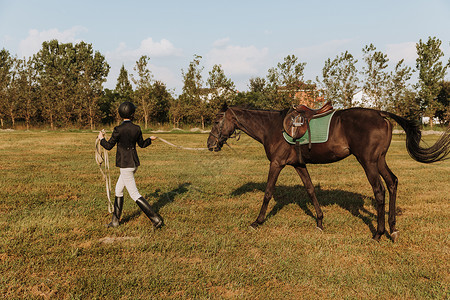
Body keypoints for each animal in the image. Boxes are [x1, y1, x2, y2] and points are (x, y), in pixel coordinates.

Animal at [207, 105, 450, 241]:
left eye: (217, 121)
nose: (210, 144)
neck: (272, 127)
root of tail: (381, 114)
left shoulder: (276, 164)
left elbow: (267, 193)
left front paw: (256, 222)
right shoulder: (299, 165)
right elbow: (310, 190)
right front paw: (320, 222)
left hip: (368, 162)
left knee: (379, 191)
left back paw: (378, 234)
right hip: (379, 160)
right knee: (392, 183)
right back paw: (393, 229)